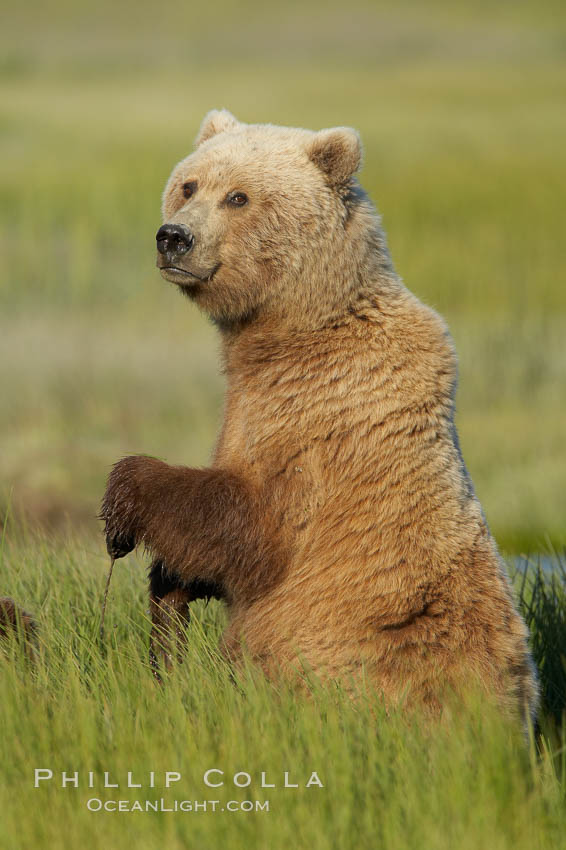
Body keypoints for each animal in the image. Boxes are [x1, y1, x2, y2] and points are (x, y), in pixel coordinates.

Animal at [102, 104, 540, 716]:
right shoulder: (247, 402)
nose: (174, 237)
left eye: (238, 196)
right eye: (188, 185)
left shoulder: (321, 418)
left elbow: (254, 528)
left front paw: (123, 504)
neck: (289, 327)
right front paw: (167, 599)